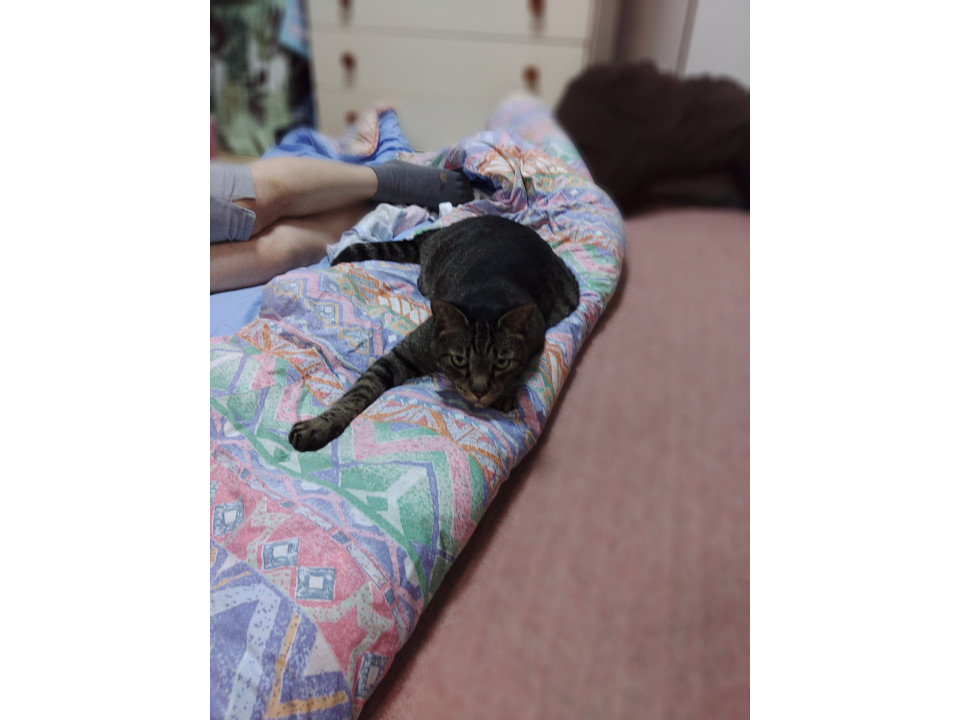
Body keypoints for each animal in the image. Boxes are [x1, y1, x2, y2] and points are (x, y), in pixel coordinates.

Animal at [288, 215, 580, 452]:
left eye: (501, 362)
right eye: (459, 359)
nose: (478, 391)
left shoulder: (536, 333)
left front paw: (504, 392)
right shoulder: (402, 354)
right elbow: (359, 390)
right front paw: (319, 425)